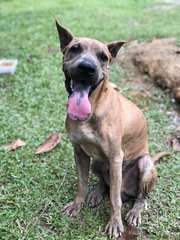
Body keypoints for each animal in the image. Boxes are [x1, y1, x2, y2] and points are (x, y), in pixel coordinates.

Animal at [56, 22, 158, 238]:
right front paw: (77, 205)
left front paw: (115, 223)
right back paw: (96, 194)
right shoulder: (79, 151)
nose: (87, 68)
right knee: (104, 183)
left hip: (144, 164)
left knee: (140, 196)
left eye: (103, 56)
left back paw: (135, 210)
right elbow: (82, 183)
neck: (93, 107)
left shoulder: (116, 157)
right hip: (97, 162)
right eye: (75, 49)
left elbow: (114, 199)